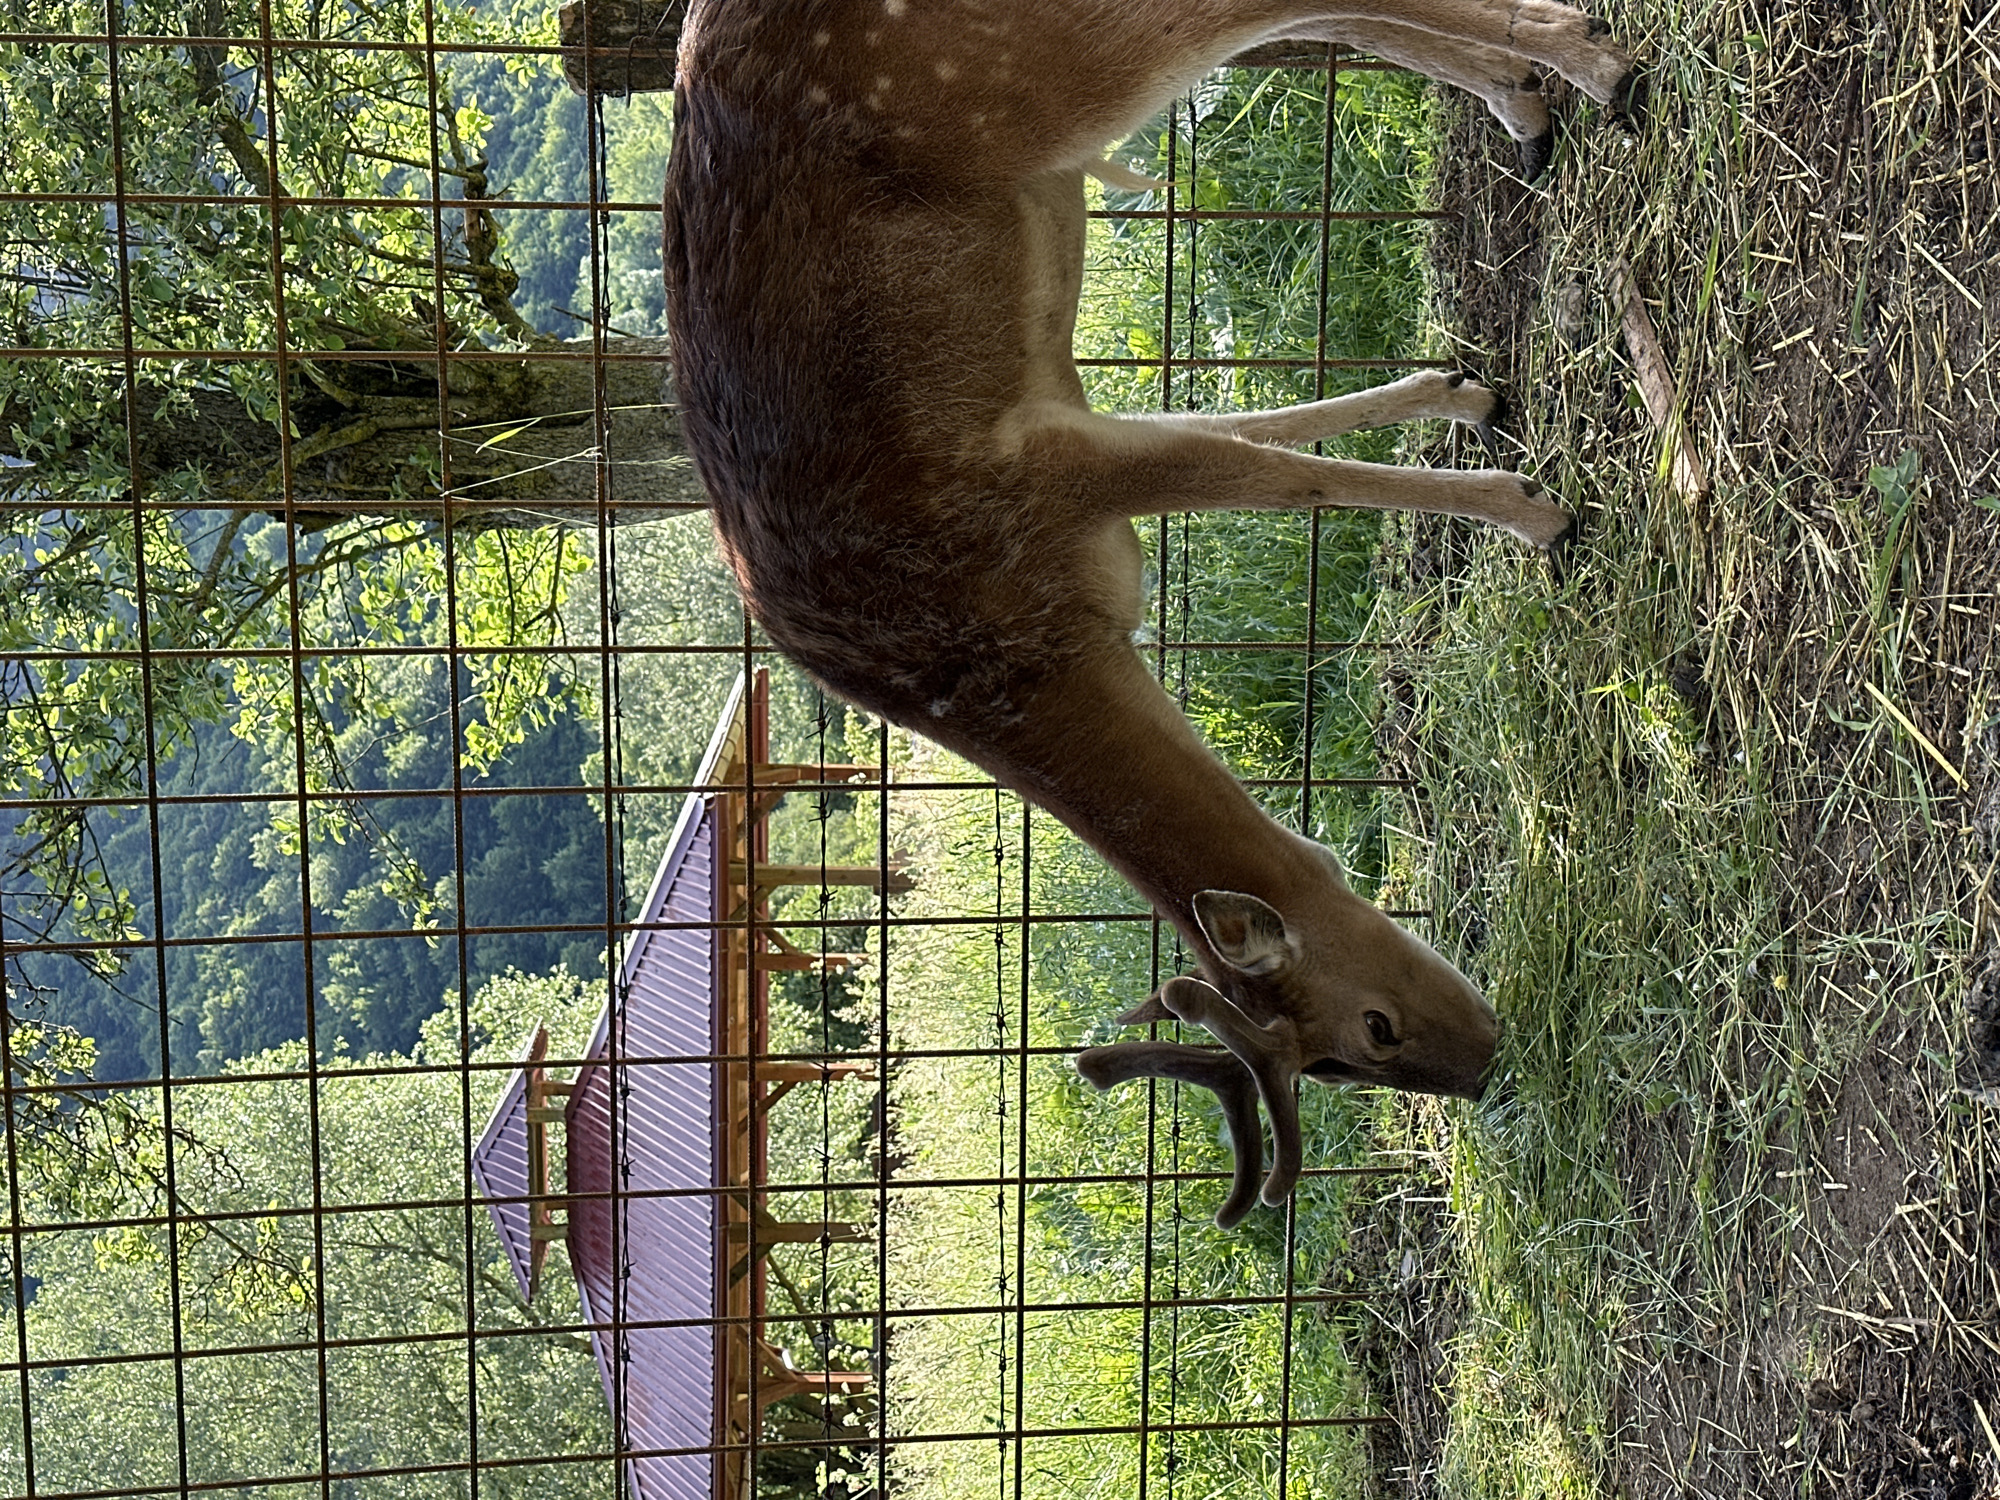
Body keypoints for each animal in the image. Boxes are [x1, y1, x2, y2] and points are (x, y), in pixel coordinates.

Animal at [662, 0, 1637, 1227]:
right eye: (1352, 1053)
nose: (1486, 1064)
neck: (1024, 648)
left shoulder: (1038, 471)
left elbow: (1279, 478)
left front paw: (1531, 511)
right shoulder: (1074, 433)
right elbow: (1256, 429)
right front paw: (1461, 393)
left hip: (1050, 73)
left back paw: (1590, 72)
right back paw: (1531, 102)